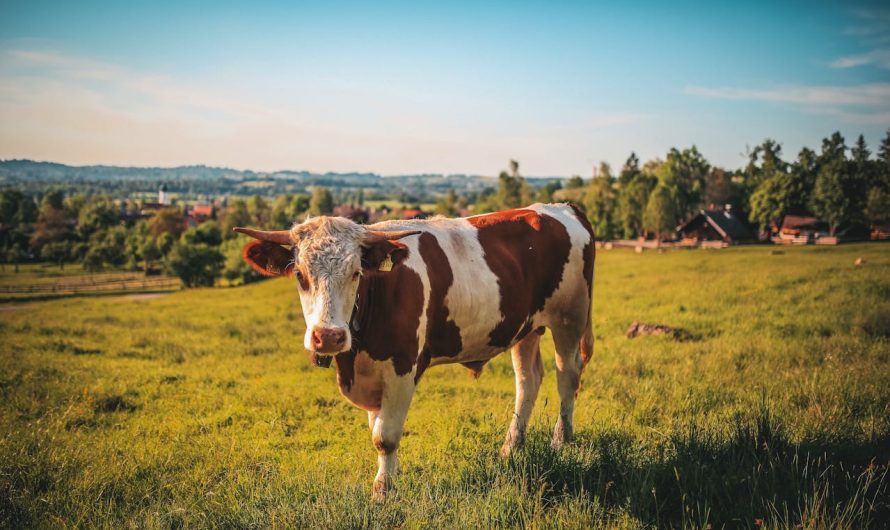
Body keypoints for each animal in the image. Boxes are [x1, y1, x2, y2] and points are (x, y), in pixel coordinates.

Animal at [238, 202, 596, 500]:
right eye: (300, 275)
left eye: (356, 273)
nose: (328, 336)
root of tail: (561, 207)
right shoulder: (373, 378)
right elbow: (377, 429)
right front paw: (387, 481)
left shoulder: (402, 368)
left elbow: (385, 437)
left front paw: (382, 492)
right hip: (526, 328)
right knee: (528, 380)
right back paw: (511, 448)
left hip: (570, 316)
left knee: (567, 376)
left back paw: (561, 441)